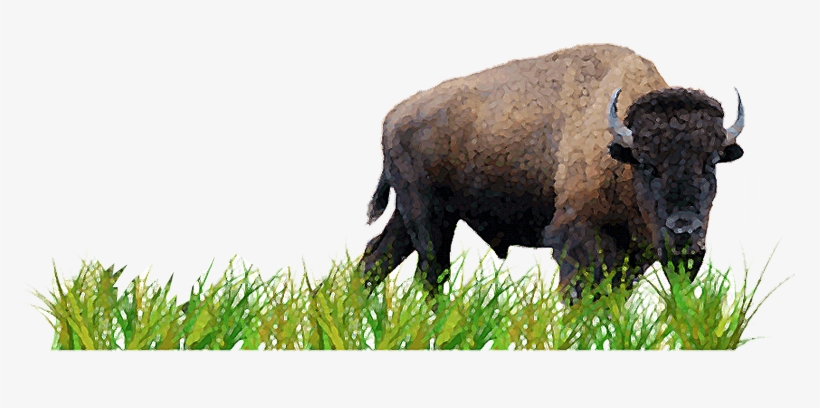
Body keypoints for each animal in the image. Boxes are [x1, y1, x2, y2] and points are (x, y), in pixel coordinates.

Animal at [360, 43, 744, 302]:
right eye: (647, 163)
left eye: (711, 161)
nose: (684, 230)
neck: (618, 153)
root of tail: (393, 116)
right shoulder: (576, 239)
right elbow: (580, 295)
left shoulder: (635, 255)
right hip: (427, 214)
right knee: (430, 273)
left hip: (412, 215)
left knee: (377, 257)